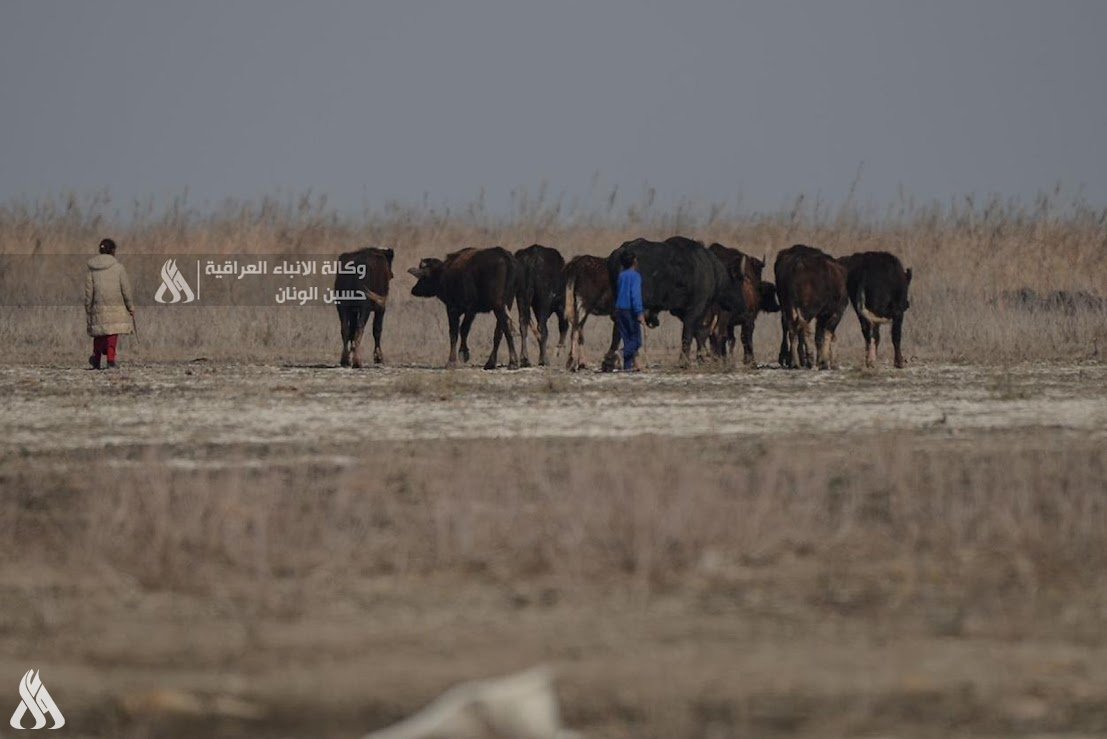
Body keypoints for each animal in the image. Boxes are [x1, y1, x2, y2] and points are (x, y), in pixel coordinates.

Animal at [602, 236, 748, 367]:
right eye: (739, 281)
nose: (742, 305)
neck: (712, 270)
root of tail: (623, 251)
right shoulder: (696, 307)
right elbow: (691, 333)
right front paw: (687, 360)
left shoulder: (680, 311)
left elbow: (698, 332)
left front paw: (701, 357)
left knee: (617, 323)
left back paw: (609, 360)